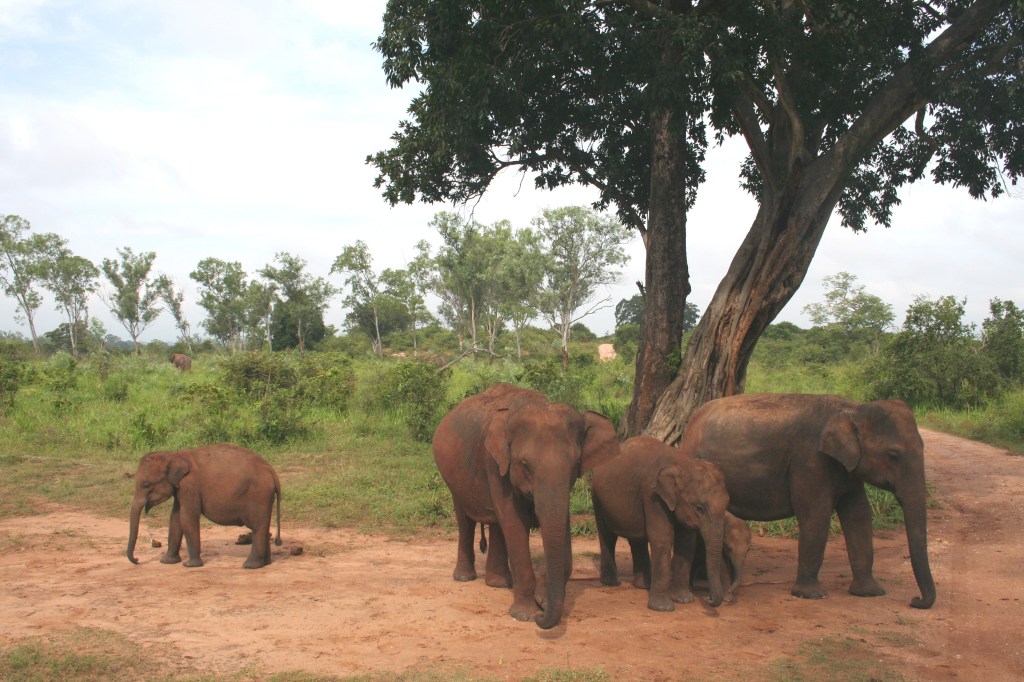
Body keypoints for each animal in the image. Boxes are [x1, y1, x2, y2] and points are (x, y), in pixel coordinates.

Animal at [127, 443, 282, 569]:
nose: (137, 559)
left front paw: (190, 565)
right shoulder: (180, 489)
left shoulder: (189, 486)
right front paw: (166, 562)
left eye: (146, 485)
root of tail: (272, 472)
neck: (173, 455)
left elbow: (187, 518)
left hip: (259, 496)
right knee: (263, 527)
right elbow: (175, 518)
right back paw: (265, 563)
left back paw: (250, 566)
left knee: (257, 527)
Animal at [432, 383, 619, 629]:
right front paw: (527, 615)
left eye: (575, 465)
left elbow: (558, 522)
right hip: (452, 477)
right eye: (525, 465)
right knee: (465, 519)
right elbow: (513, 521)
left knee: (496, 524)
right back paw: (465, 578)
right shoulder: (495, 464)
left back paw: (499, 583)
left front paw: (543, 600)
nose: (542, 615)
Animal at [590, 436, 729, 610]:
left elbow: (686, 542)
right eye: (699, 508)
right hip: (597, 498)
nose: (707, 597)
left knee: (637, 540)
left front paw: (684, 600)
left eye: (727, 504)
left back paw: (643, 585)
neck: (682, 463)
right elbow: (663, 538)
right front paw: (663, 608)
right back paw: (612, 583)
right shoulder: (652, 495)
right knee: (607, 537)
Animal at [676, 393, 936, 609]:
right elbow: (815, 516)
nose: (915, 600)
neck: (853, 409)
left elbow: (859, 515)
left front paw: (870, 593)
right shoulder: (810, 460)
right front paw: (812, 595)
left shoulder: (848, 470)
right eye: (893, 455)